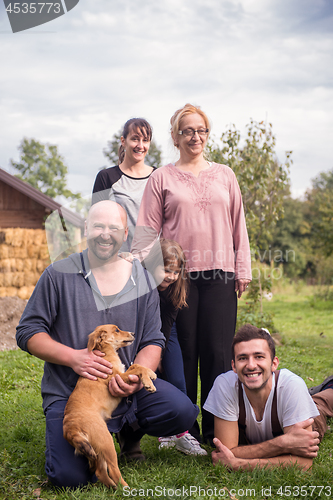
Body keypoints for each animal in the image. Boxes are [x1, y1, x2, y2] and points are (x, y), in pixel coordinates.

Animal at [63, 324, 157, 488]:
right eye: (117, 330)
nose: (133, 333)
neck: (106, 352)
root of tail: (71, 427)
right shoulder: (118, 377)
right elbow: (137, 369)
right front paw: (148, 383)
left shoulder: (122, 374)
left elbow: (136, 365)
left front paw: (151, 373)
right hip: (105, 441)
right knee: (113, 470)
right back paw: (126, 488)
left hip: (97, 448)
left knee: (100, 472)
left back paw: (112, 487)